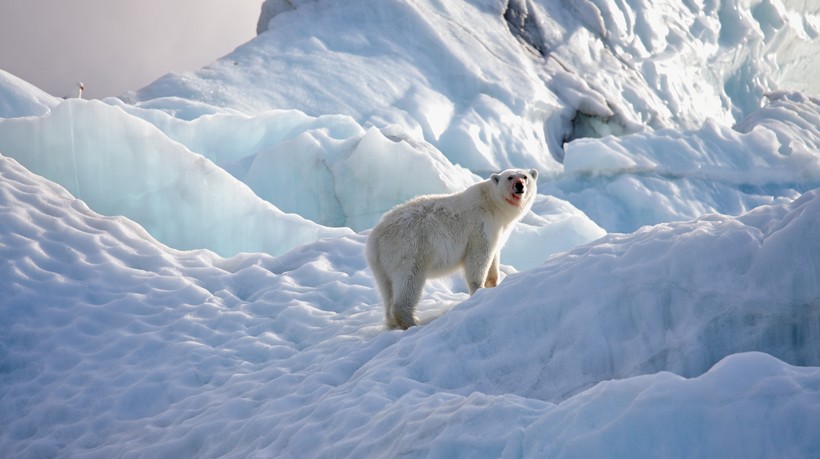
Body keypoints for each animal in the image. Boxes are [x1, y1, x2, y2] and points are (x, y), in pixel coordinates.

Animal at [366, 171, 540, 328]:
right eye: (510, 177)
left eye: (525, 176)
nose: (519, 185)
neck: (492, 203)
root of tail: (375, 239)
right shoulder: (481, 225)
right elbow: (478, 257)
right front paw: (478, 290)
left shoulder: (498, 231)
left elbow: (494, 255)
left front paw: (492, 284)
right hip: (409, 248)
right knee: (409, 279)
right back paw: (412, 322)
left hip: (381, 264)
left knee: (386, 289)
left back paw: (392, 322)